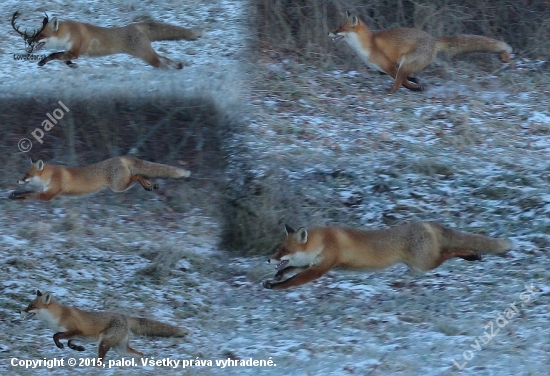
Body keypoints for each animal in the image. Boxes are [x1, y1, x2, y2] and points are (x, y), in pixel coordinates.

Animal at [8, 156, 192, 203]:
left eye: (26, 175)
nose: (16, 180)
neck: (50, 176)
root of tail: (122, 157)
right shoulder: (44, 192)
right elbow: (27, 191)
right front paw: (14, 193)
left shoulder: (47, 195)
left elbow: (29, 193)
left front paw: (16, 195)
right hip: (121, 185)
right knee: (145, 174)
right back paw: (152, 184)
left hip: (118, 187)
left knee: (138, 175)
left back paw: (147, 185)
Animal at [20, 13, 205, 68]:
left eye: (40, 36)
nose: (29, 42)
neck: (70, 33)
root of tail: (135, 26)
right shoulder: (72, 53)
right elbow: (63, 58)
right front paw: (71, 66)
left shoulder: (75, 51)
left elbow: (54, 55)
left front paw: (43, 62)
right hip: (148, 53)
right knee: (165, 59)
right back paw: (178, 67)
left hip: (146, 56)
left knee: (161, 64)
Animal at [21, 290, 190, 360]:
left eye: (31, 306)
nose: (20, 311)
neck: (58, 317)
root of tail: (124, 317)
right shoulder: (77, 335)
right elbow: (69, 342)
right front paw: (78, 348)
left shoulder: (75, 330)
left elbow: (55, 336)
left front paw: (60, 345)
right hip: (120, 349)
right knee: (140, 354)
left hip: (104, 344)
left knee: (101, 361)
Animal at [264, 222, 512, 290]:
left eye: (283, 250)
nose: (267, 259)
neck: (324, 241)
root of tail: (427, 223)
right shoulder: (313, 263)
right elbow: (290, 270)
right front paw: (275, 277)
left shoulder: (322, 266)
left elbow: (293, 280)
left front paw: (276, 286)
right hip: (420, 265)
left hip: (425, 262)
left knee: (449, 253)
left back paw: (472, 255)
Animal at [328, 10, 512, 93]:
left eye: (340, 29)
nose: (329, 32)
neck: (368, 45)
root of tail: (433, 40)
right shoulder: (387, 69)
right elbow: (407, 78)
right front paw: (415, 81)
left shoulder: (390, 66)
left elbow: (401, 81)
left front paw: (413, 86)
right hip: (405, 64)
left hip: (406, 62)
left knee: (398, 84)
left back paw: (398, 91)